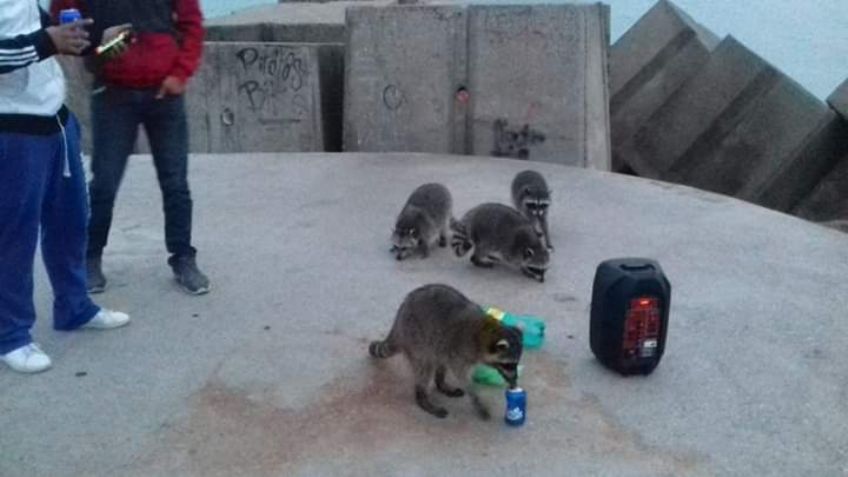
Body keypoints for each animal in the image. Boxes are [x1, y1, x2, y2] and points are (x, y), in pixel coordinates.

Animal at [372, 284, 524, 418]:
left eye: (515, 364)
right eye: (508, 364)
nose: (514, 382)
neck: (485, 334)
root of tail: (399, 321)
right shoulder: (462, 350)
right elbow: (462, 376)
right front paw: (476, 399)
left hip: (438, 345)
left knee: (440, 361)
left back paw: (441, 384)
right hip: (416, 339)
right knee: (424, 369)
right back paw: (422, 396)